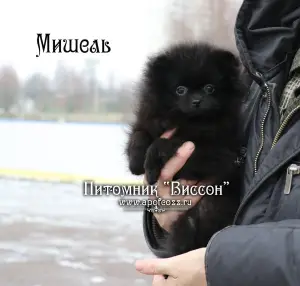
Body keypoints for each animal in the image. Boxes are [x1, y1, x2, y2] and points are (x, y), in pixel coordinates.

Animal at [125, 41, 245, 258]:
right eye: (180, 90)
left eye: (209, 88)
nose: (197, 100)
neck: (188, 121)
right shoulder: (149, 119)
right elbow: (139, 135)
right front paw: (136, 161)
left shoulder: (219, 154)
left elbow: (167, 143)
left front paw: (151, 161)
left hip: (196, 219)